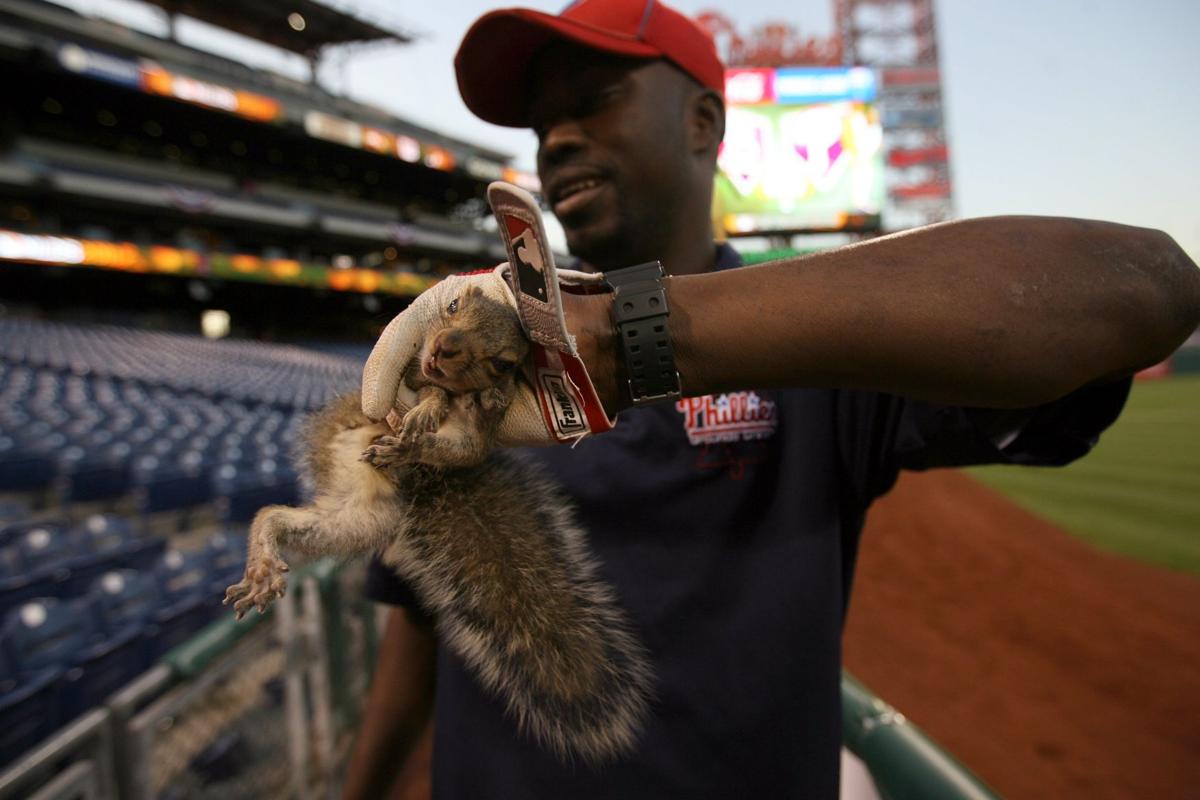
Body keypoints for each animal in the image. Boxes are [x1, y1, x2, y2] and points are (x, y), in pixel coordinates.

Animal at [223, 283, 653, 764]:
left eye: (503, 363)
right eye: (452, 306)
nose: (445, 346)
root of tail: (421, 486)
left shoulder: (481, 433)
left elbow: (466, 437)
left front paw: (429, 429)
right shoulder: (412, 375)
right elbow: (425, 388)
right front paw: (426, 408)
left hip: (363, 516)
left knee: (280, 515)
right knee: (273, 512)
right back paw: (263, 560)